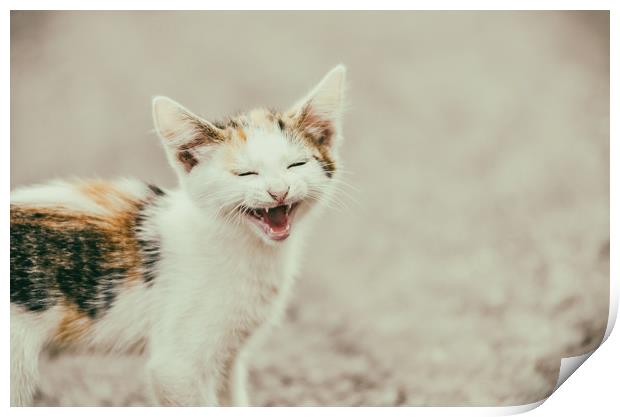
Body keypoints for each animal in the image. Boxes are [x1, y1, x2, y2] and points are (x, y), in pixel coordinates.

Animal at [9, 66, 346, 406]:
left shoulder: (229, 355)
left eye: (296, 164)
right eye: (245, 173)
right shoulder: (176, 368)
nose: (279, 191)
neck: (244, 248)